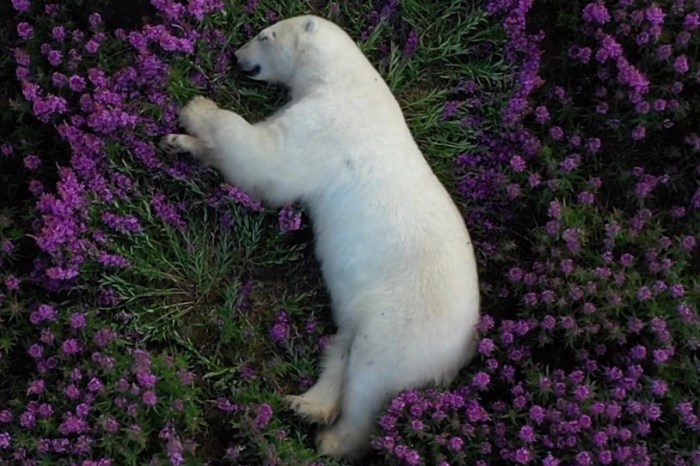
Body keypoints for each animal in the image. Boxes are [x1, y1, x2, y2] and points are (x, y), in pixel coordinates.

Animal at [160, 14, 480, 461]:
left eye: (264, 35)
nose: (236, 56)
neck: (343, 78)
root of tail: (464, 349)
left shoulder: (328, 123)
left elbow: (268, 159)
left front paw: (197, 109)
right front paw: (177, 142)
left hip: (406, 324)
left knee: (370, 377)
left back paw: (331, 439)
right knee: (341, 346)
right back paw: (306, 404)